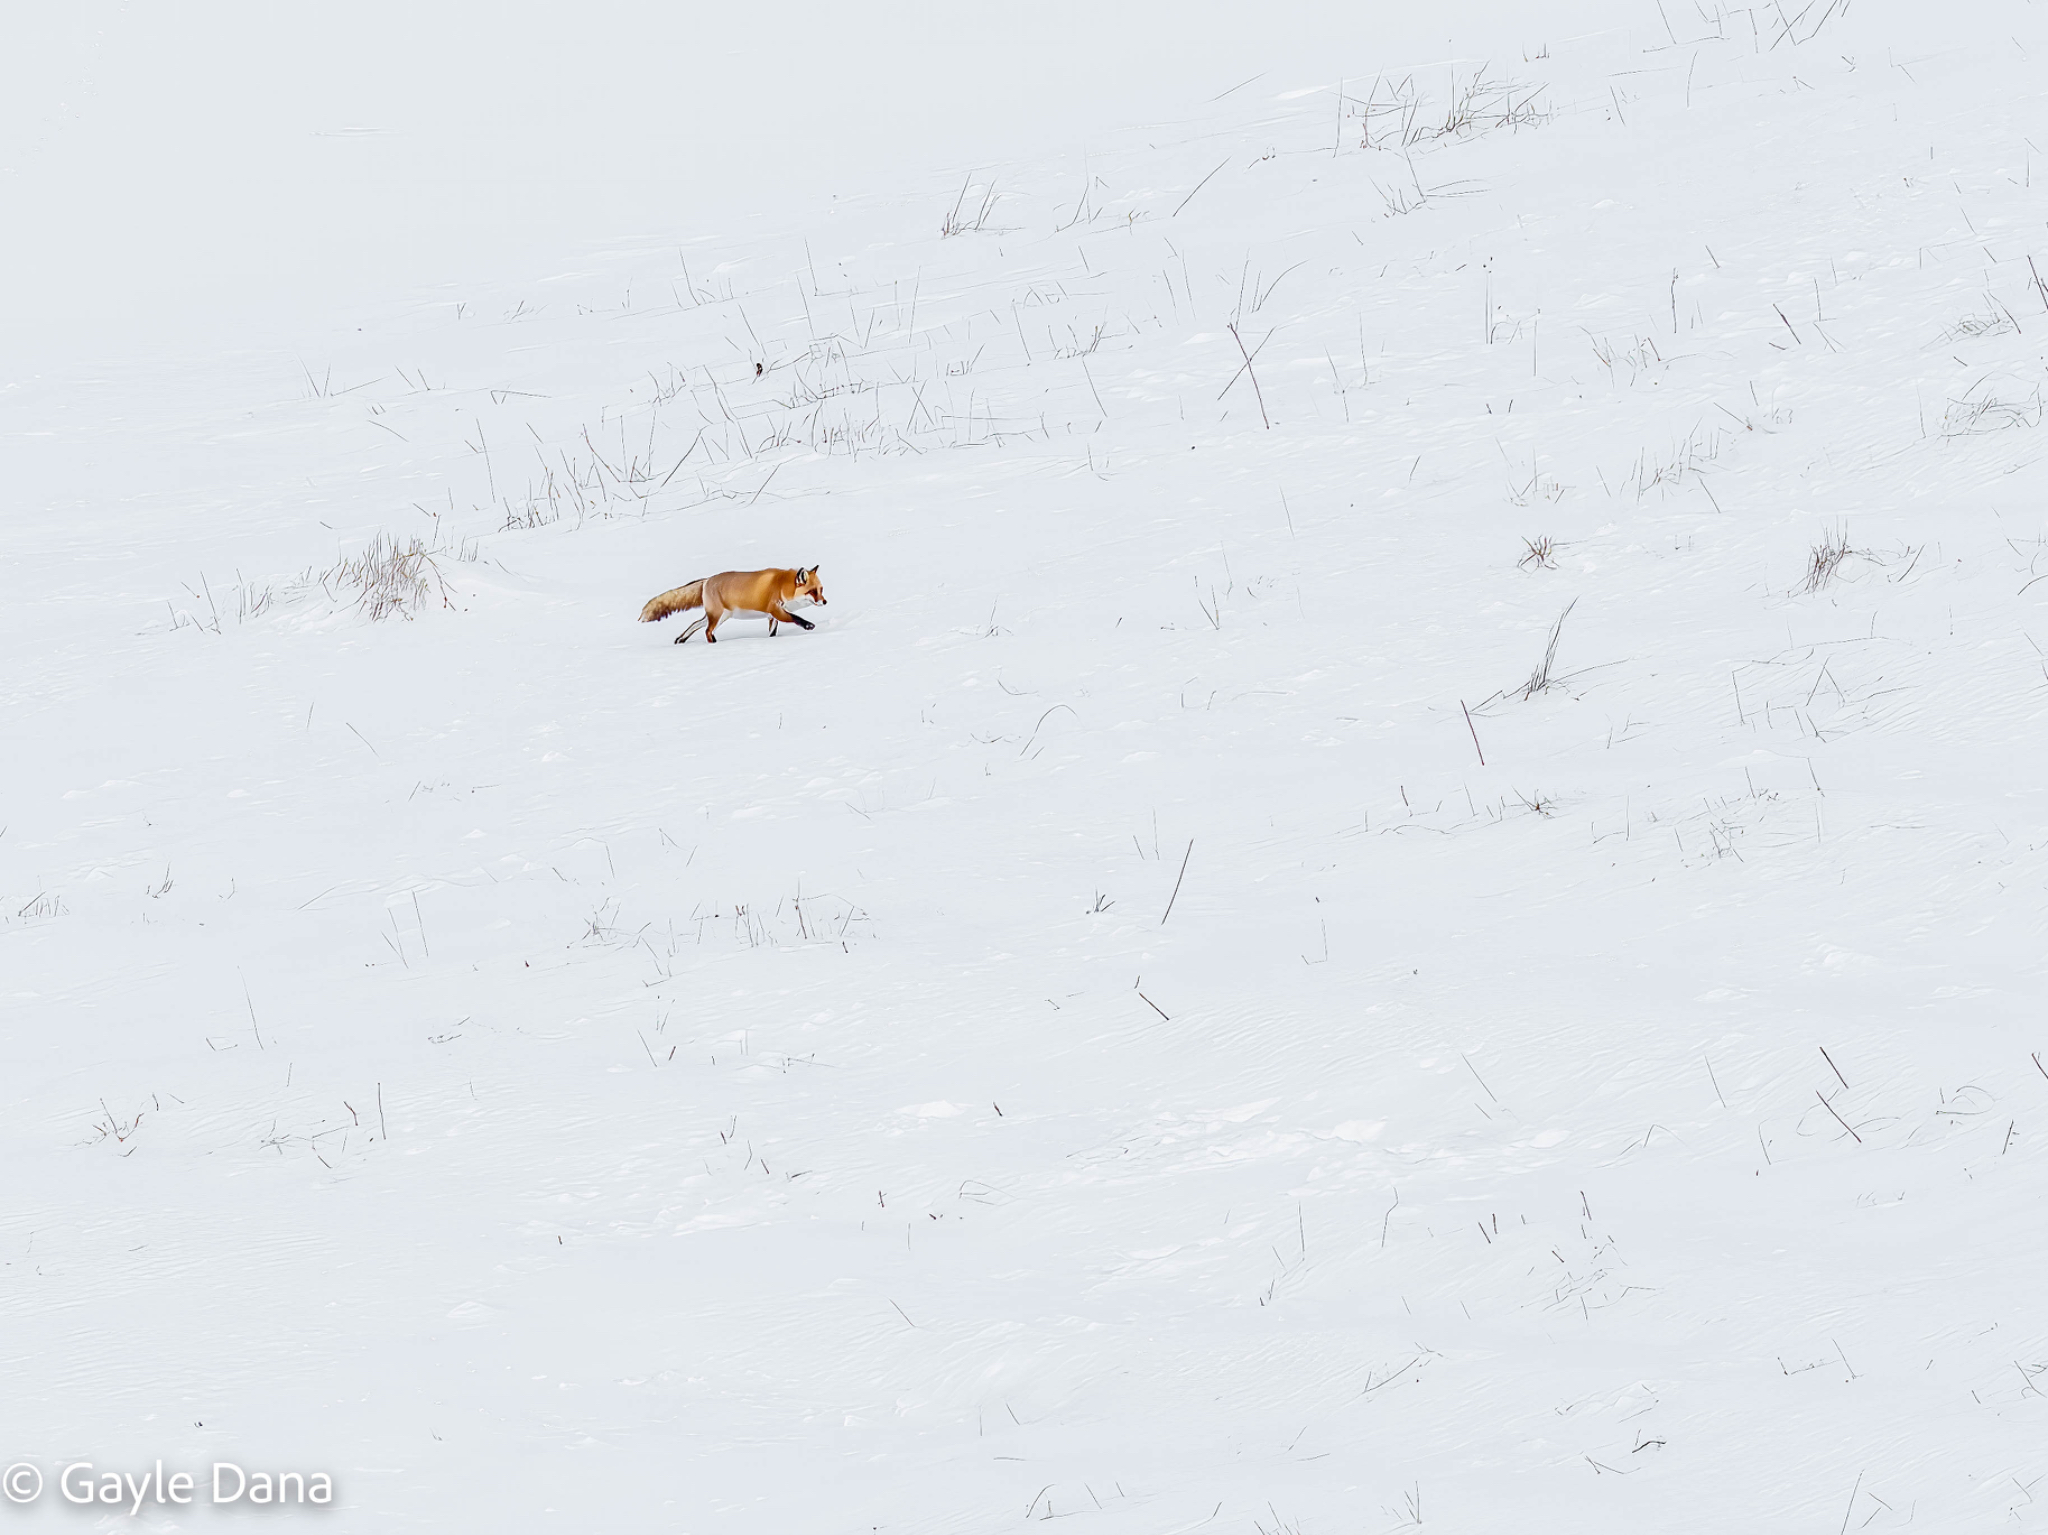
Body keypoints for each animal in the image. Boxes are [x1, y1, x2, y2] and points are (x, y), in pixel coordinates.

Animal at [637, 566, 827, 644]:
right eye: (812, 591)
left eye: (821, 589)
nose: (825, 602)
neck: (781, 586)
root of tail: (707, 580)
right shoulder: (775, 610)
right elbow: (796, 618)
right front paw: (808, 625)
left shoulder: (772, 616)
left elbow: (772, 633)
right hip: (717, 616)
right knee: (707, 631)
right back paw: (714, 644)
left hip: (719, 616)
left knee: (695, 624)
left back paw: (681, 639)